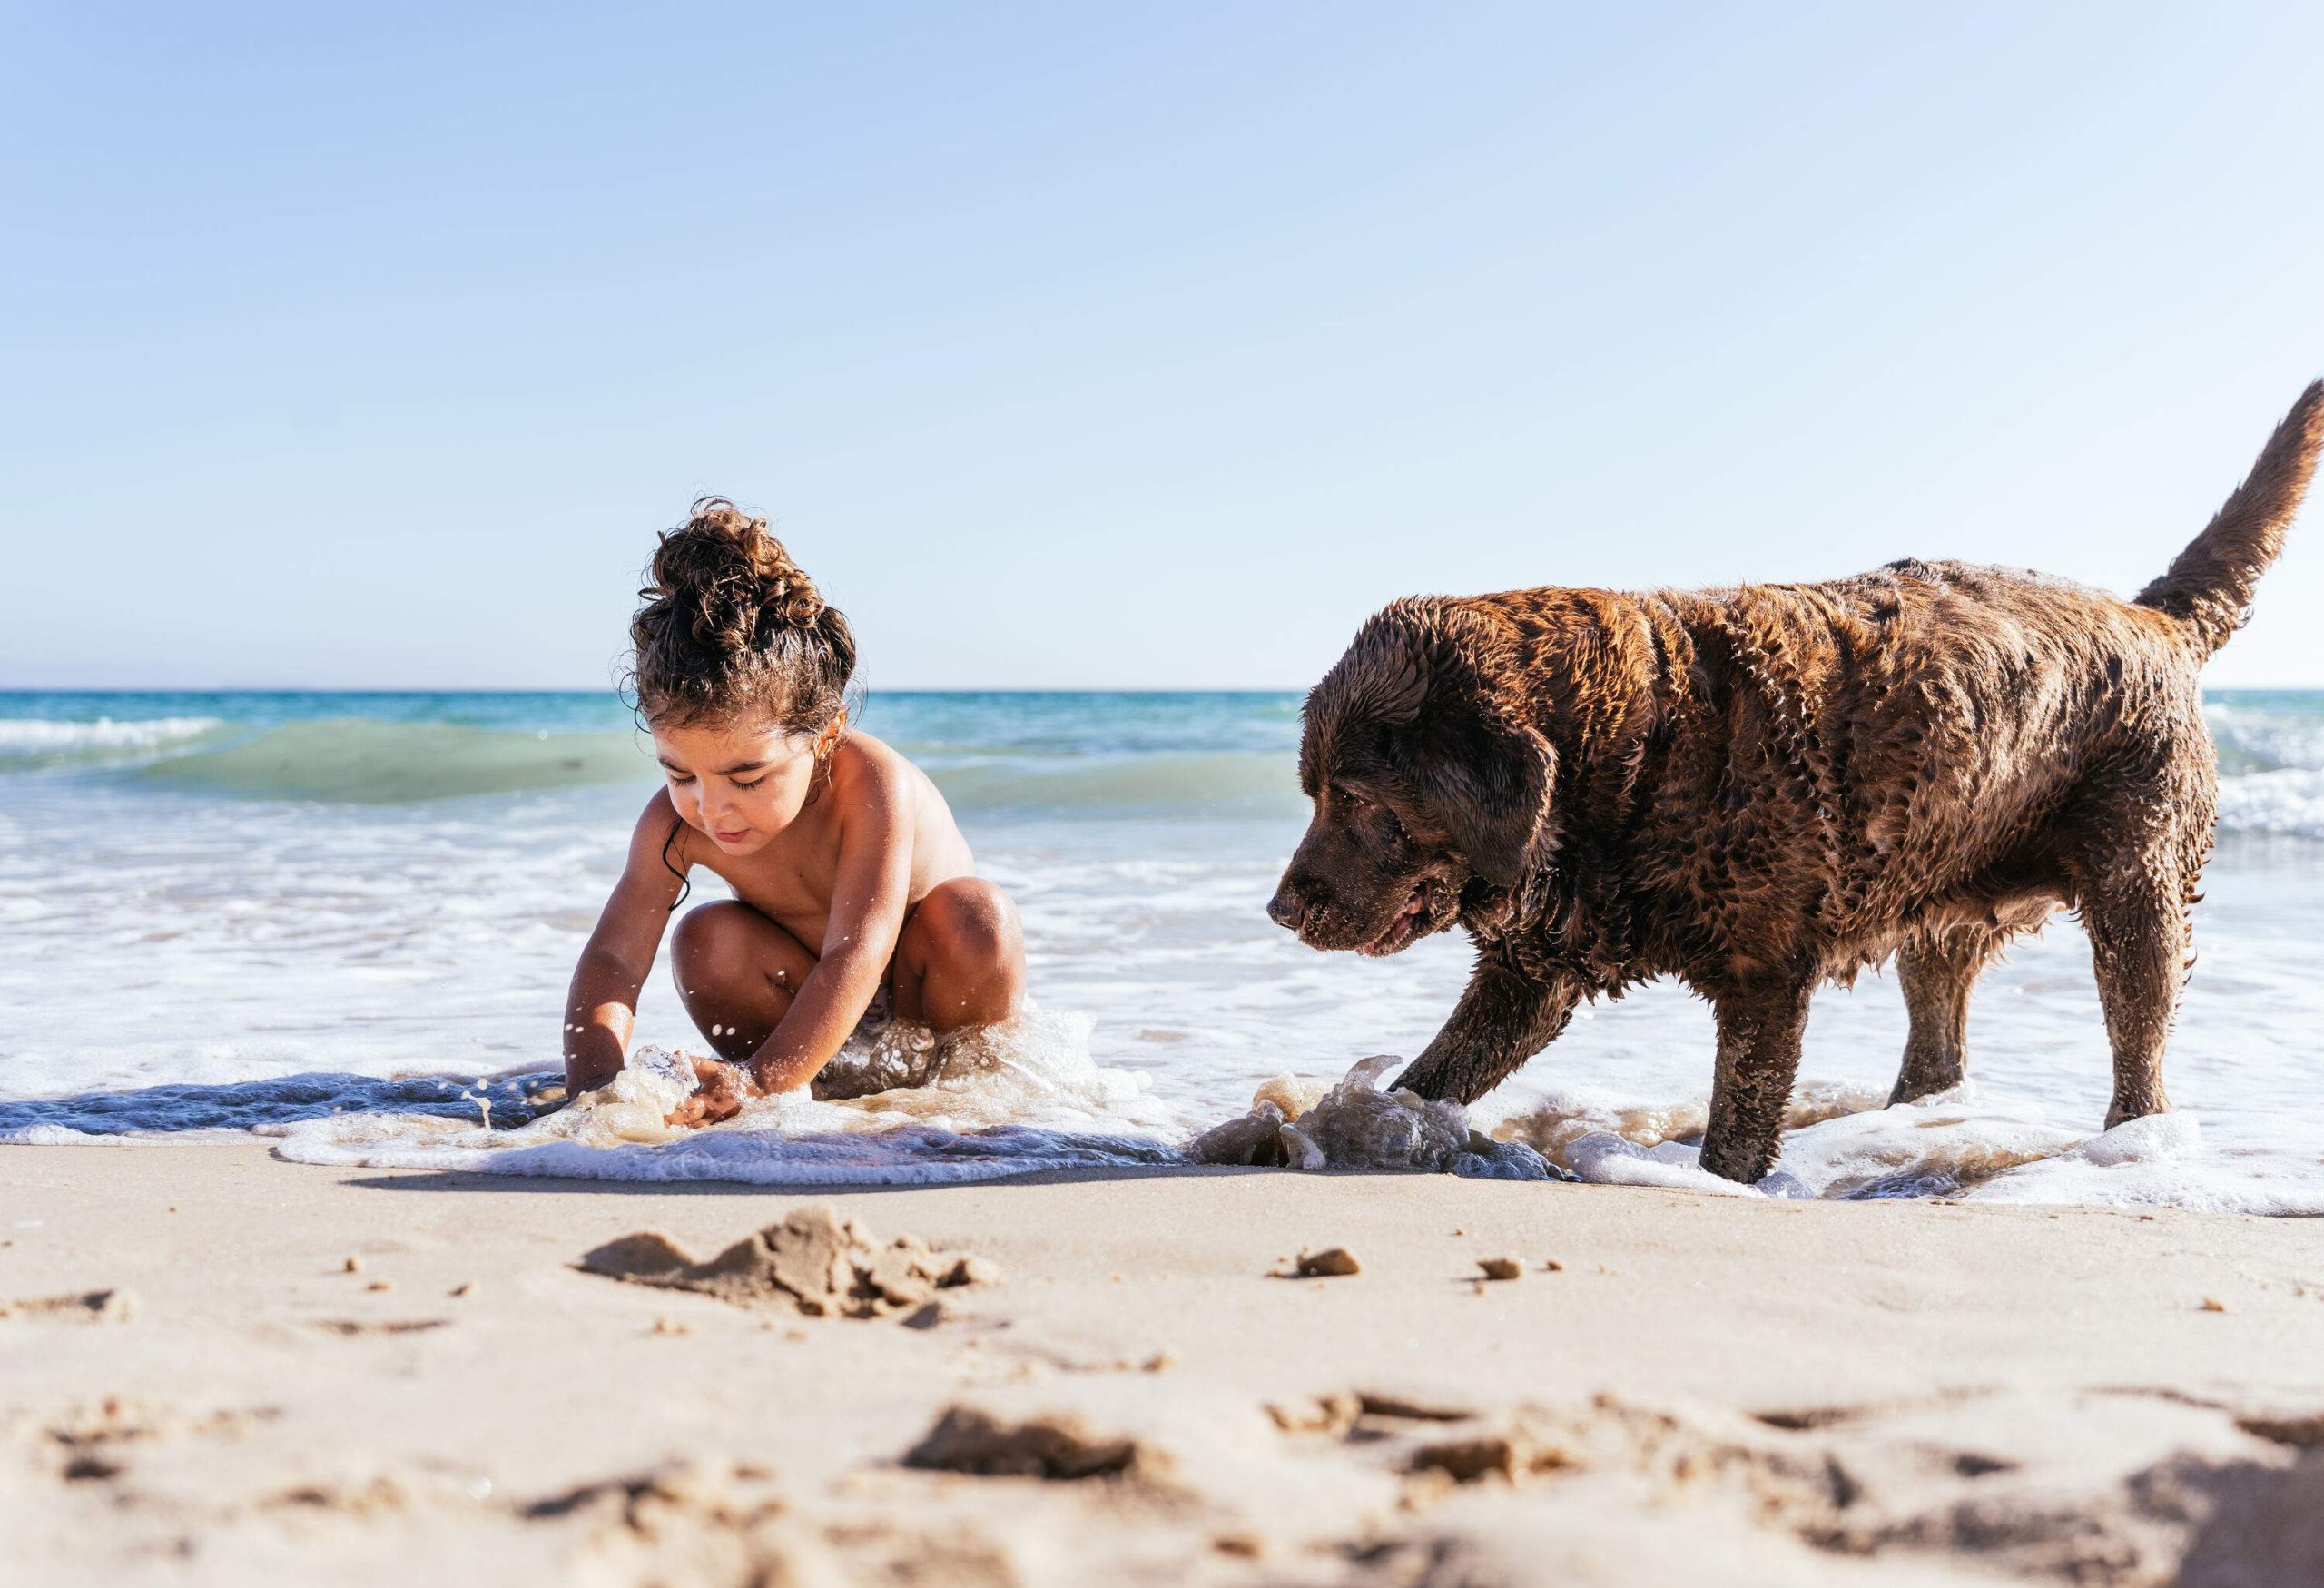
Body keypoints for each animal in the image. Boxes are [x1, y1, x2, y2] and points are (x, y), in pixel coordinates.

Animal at [1273, 380, 2324, 1180]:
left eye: (1358, 800)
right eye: (1313, 792)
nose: (1280, 910)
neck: (1642, 750)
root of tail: (2153, 619)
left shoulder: (1764, 977)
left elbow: (1741, 1116)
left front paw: (1722, 1180)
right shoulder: (1527, 972)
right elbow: (1435, 1073)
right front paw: (1355, 1127)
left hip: (2137, 889)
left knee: (2138, 1038)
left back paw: (2133, 1142)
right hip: (1938, 908)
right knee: (1937, 1042)